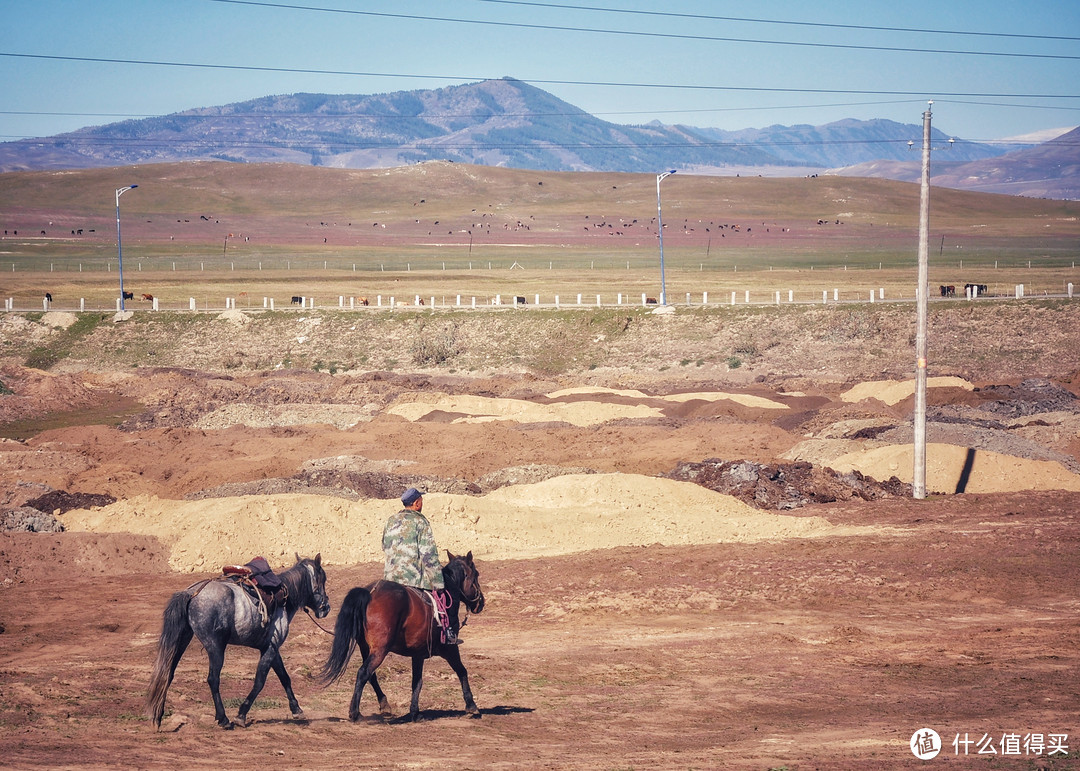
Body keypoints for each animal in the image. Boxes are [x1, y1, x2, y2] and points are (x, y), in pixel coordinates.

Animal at [145, 552, 328, 725]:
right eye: (323, 580)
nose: (326, 608)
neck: (284, 598)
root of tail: (191, 593)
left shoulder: (271, 648)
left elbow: (284, 677)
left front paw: (296, 709)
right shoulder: (271, 647)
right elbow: (260, 681)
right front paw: (241, 714)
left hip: (183, 640)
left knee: (168, 672)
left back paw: (158, 716)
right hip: (215, 647)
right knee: (213, 679)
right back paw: (223, 719)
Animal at [319, 548, 486, 717]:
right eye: (477, 574)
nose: (481, 603)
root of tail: (370, 592)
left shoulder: (418, 653)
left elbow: (417, 681)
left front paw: (414, 711)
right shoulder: (449, 648)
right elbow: (461, 671)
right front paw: (471, 705)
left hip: (366, 648)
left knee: (371, 675)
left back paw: (384, 704)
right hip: (380, 650)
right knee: (363, 673)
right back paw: (355, 712)